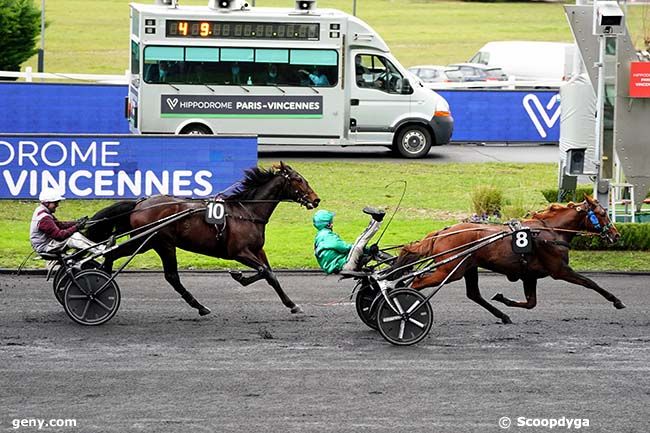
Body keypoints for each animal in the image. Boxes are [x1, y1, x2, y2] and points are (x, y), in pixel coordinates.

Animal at [86, 161, 318, 314]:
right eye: (298, 179)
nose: (316, 199)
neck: (247, 212)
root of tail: (139, 204)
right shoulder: (239, 252)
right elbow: (264, 272)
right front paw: (239, 276)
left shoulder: (257, 250)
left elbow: (271, 275)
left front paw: (292, 304)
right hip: (158, 243)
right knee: (167, 275)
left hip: (149, 243)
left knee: (117, 256)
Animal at [390, 196, 624, 324]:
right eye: (603, 214)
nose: (616, 235)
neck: (549, 231)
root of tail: (442, 232)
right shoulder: (559, 270)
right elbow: (590, 282)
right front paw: (616, 300)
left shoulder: (530, 275)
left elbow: (531, 303)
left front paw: (504, 299)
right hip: (448, 270)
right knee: (416, 282)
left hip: (467, 267)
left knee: (473, 294)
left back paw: (502, 315)